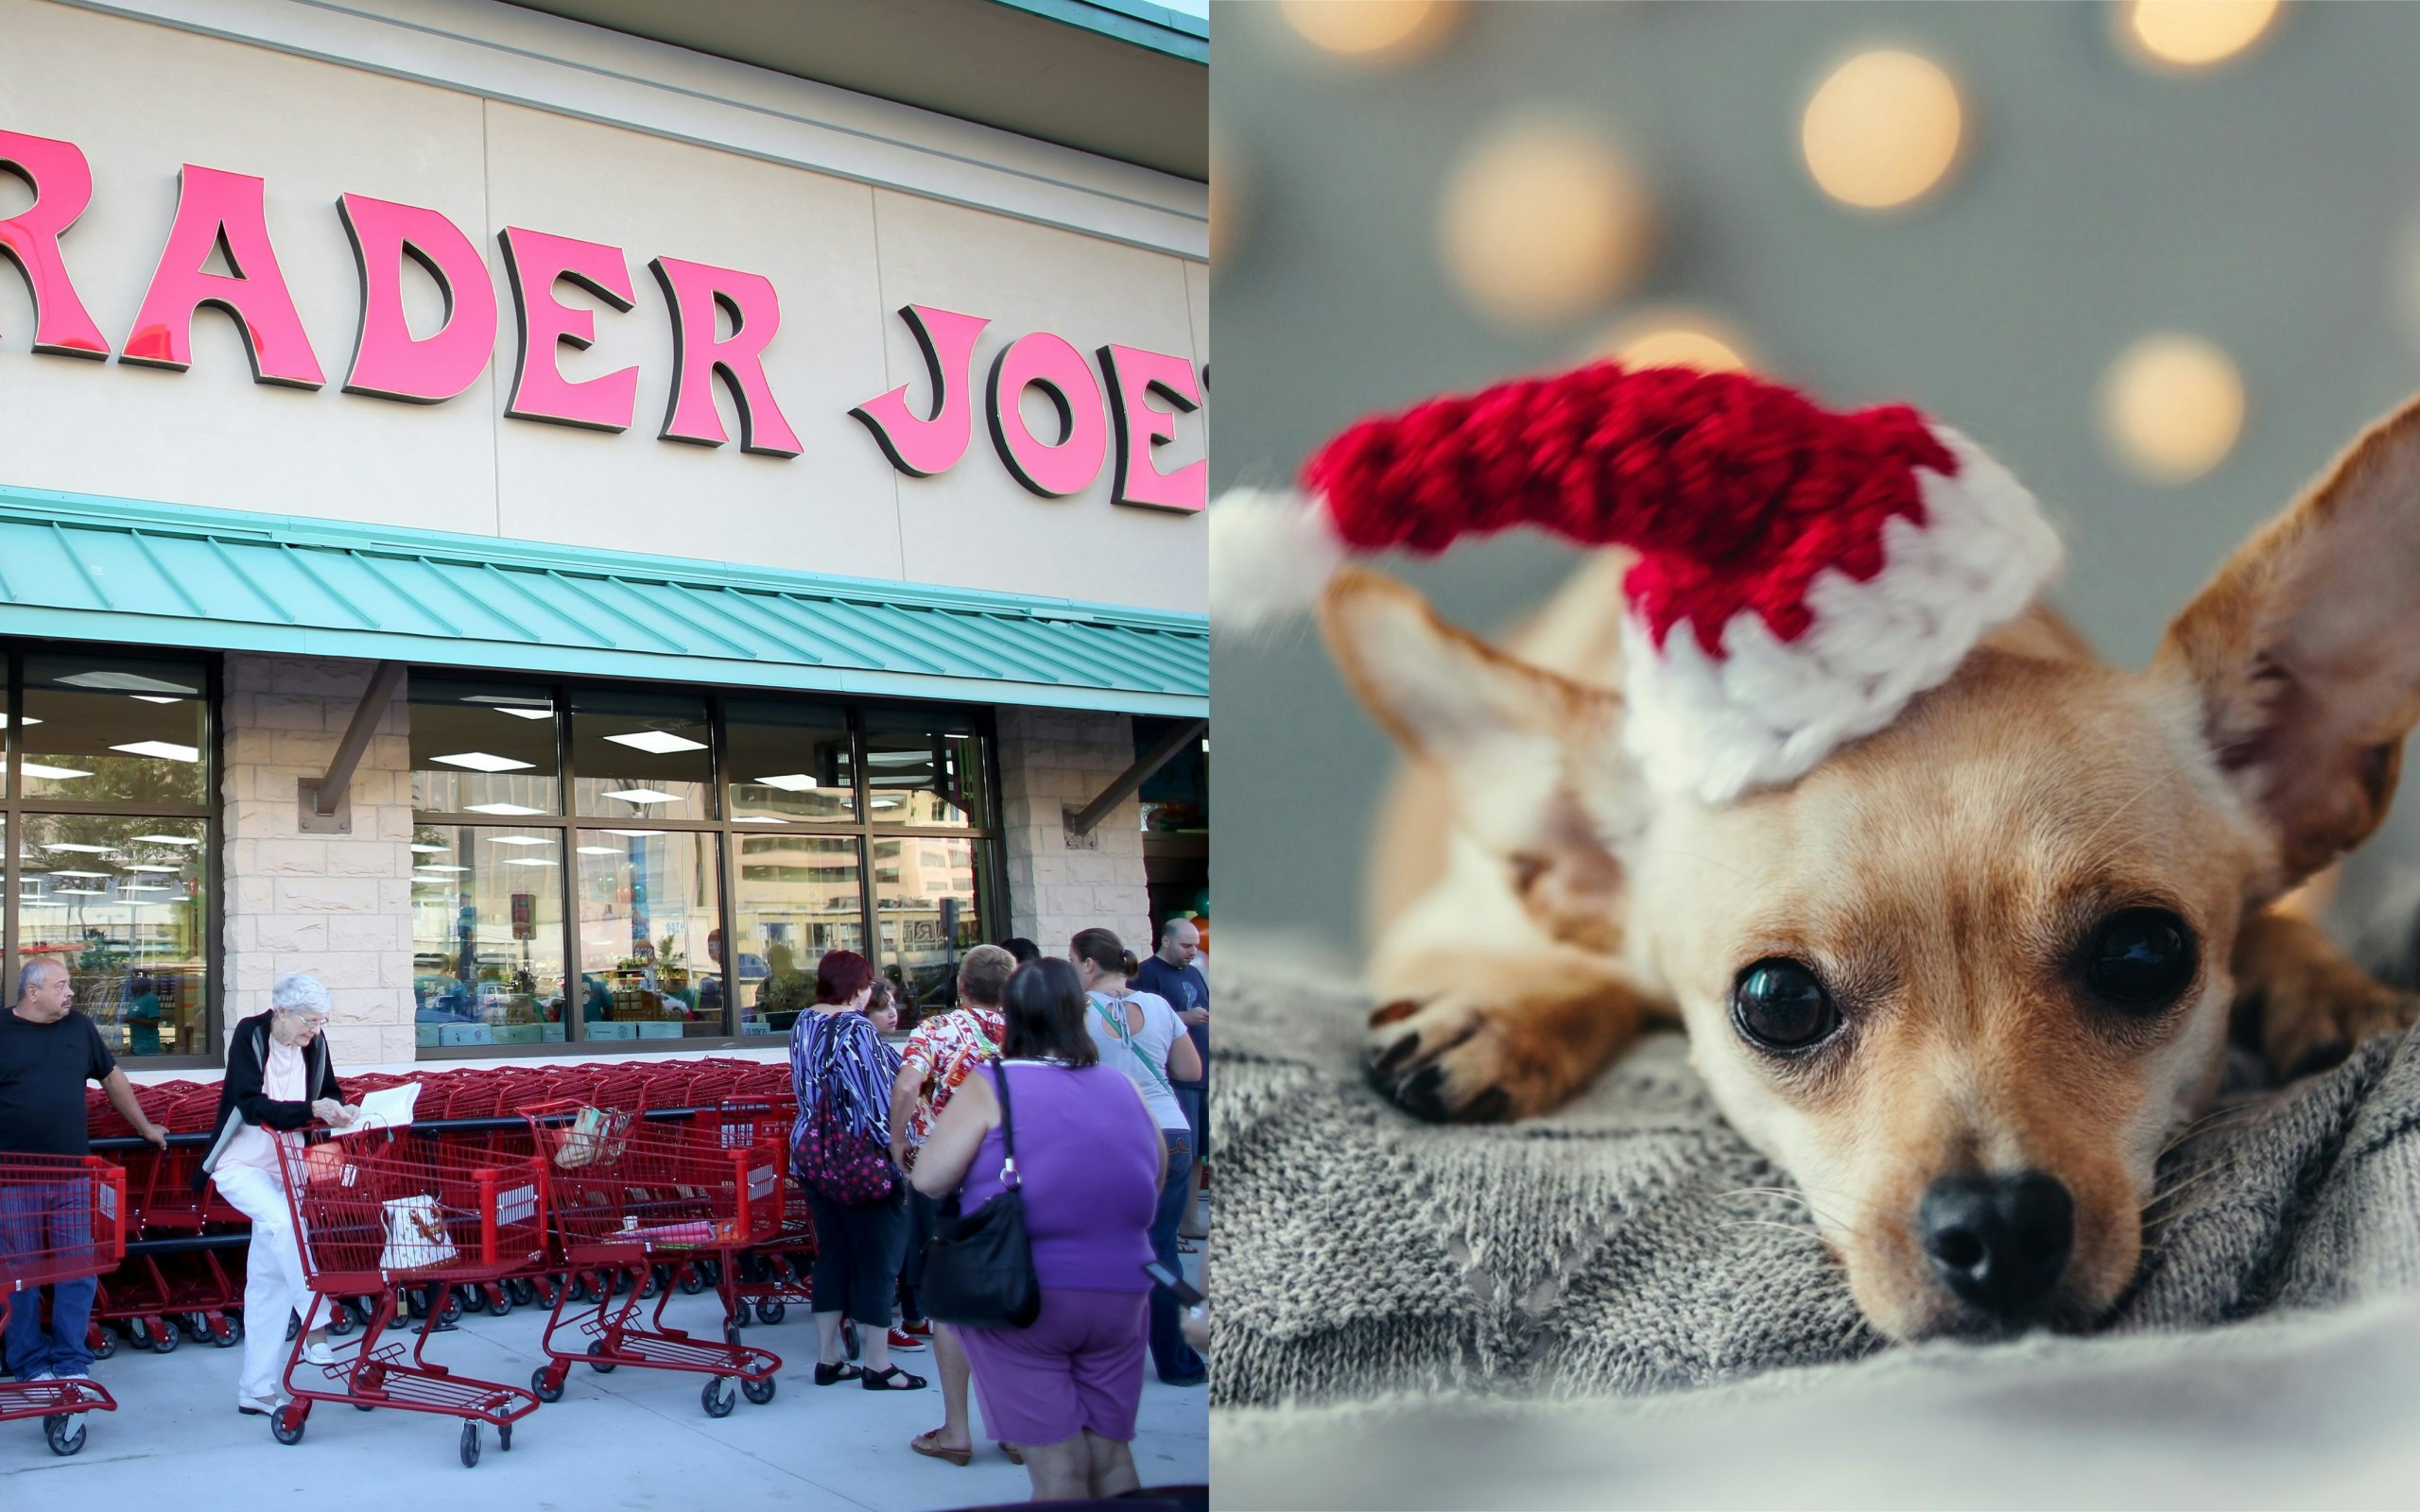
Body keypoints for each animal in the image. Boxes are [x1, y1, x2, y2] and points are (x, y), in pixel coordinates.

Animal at [1325, 394, 2420, 1335]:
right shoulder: (1444, 926)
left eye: (2146, 956)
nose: (1998, 1228)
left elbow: (2280, 926)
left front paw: (2328, 989)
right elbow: (1581, 972)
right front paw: (1500, 1017)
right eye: (1776, 1002)